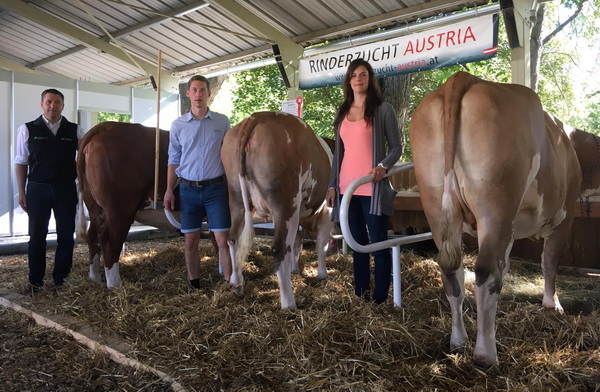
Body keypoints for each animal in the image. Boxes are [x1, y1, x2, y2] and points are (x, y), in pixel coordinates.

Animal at [75, 121, 183, 286]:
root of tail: (104, 126)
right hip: (120, 209)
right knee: (110, 240)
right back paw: (115, 284)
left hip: (94, 207)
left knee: (93, 236)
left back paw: (95, 279)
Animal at [221, 111, 332, 310]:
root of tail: (256, 117)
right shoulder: (325, 212)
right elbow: (320, 245)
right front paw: (322, 274)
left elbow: (297, 243)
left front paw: (296, 270)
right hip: (286, 202)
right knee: (279, 248)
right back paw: (288, 303)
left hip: (236, 196)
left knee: (233, 238)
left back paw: (236, 283)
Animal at [410, 72, 584, 368]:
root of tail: (462, 78)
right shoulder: (564, 216)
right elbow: (549, 261)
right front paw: (553, 305)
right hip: (496, 203)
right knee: (485, 270)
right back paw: (485, 354)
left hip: (434, 200)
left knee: (453, 271)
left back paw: (458, 342)